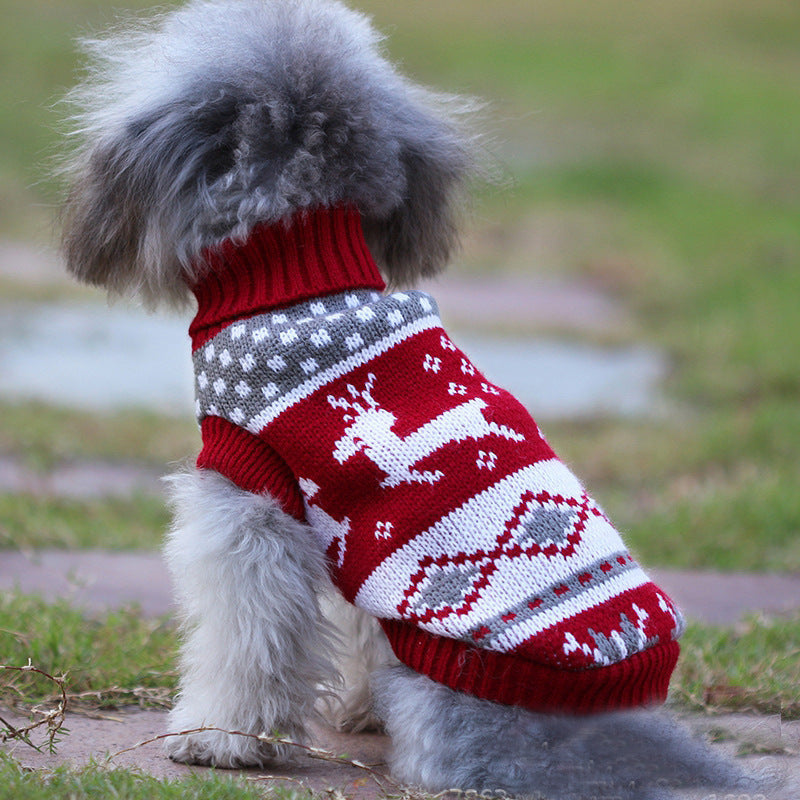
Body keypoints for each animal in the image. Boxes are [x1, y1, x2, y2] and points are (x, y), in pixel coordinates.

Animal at [59, 3, 764, 796]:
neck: (299, 273)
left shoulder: (252, 497)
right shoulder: (351, 542)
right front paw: (352, 711)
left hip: (447, 688)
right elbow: (361, 625)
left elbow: (247, 639)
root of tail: (608, 731)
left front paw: (219, 740)